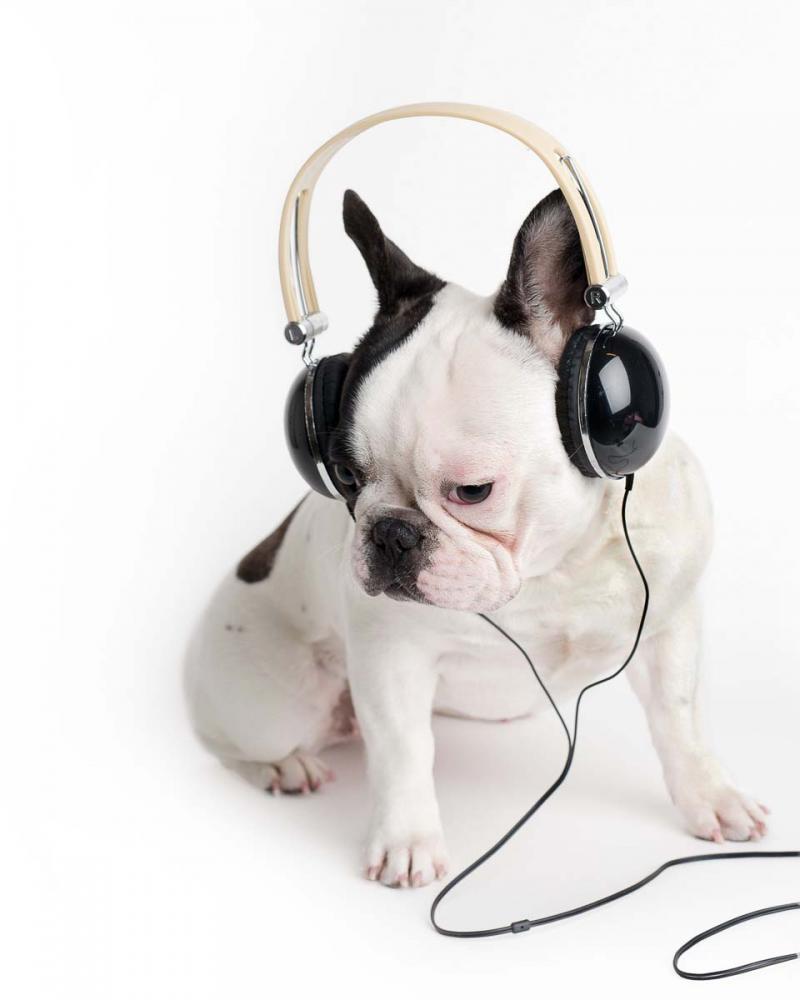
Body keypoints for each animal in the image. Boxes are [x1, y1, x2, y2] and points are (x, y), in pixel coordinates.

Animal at [185, 188, 767, 888]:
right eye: (345, 477)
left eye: (472, 491)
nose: (390, 534)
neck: (554, 566)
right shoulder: (392, 655)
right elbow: (404, 752)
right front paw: (407, 841)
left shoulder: (669, 626)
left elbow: (680, 721)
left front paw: (711, 796)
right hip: (274, 703)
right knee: (226, 742)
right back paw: (281, 766)